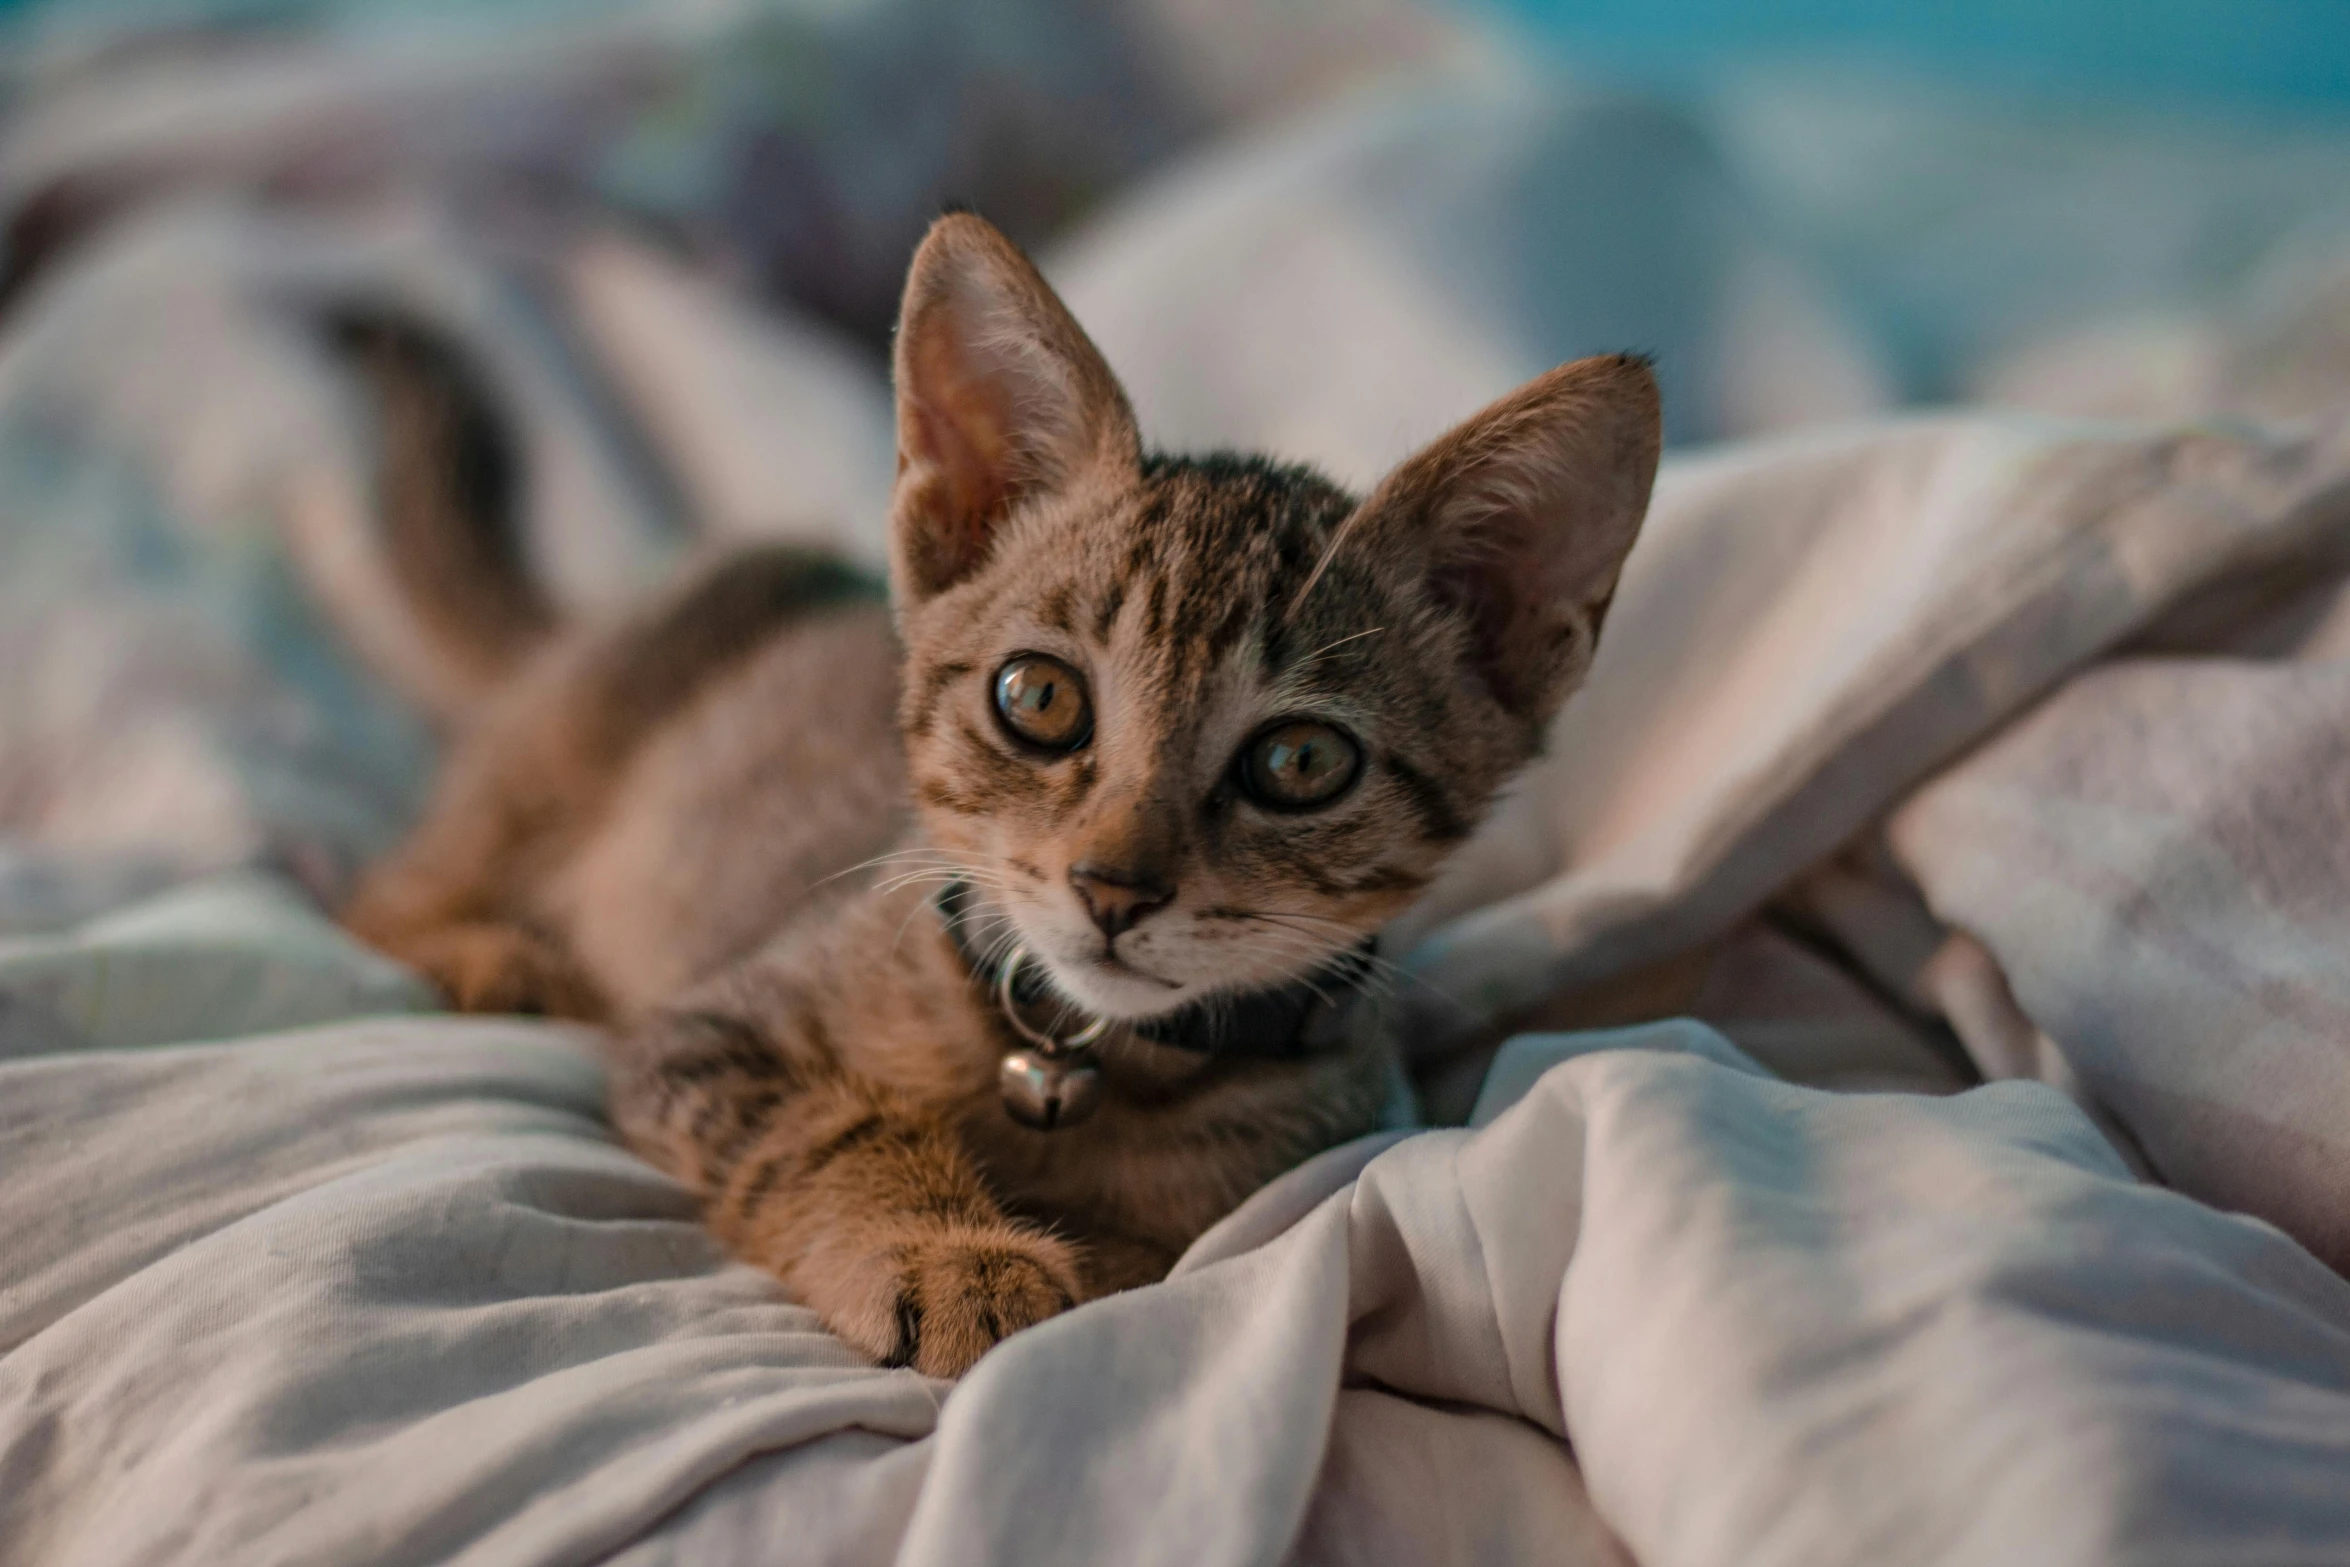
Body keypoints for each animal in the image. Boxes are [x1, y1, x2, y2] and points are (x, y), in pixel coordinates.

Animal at [343, 211, 1673, 1372]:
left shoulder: (1311, 1164)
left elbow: (1171, 1249)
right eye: (1038, 697)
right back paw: (485, 950)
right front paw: (951, 1253)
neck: (1076, 1063)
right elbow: (825, 1127)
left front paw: (1072, 1248)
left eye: (1299, 763)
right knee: (390, 882)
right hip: (570, 731)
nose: (1113, 887)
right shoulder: (708, 1031)